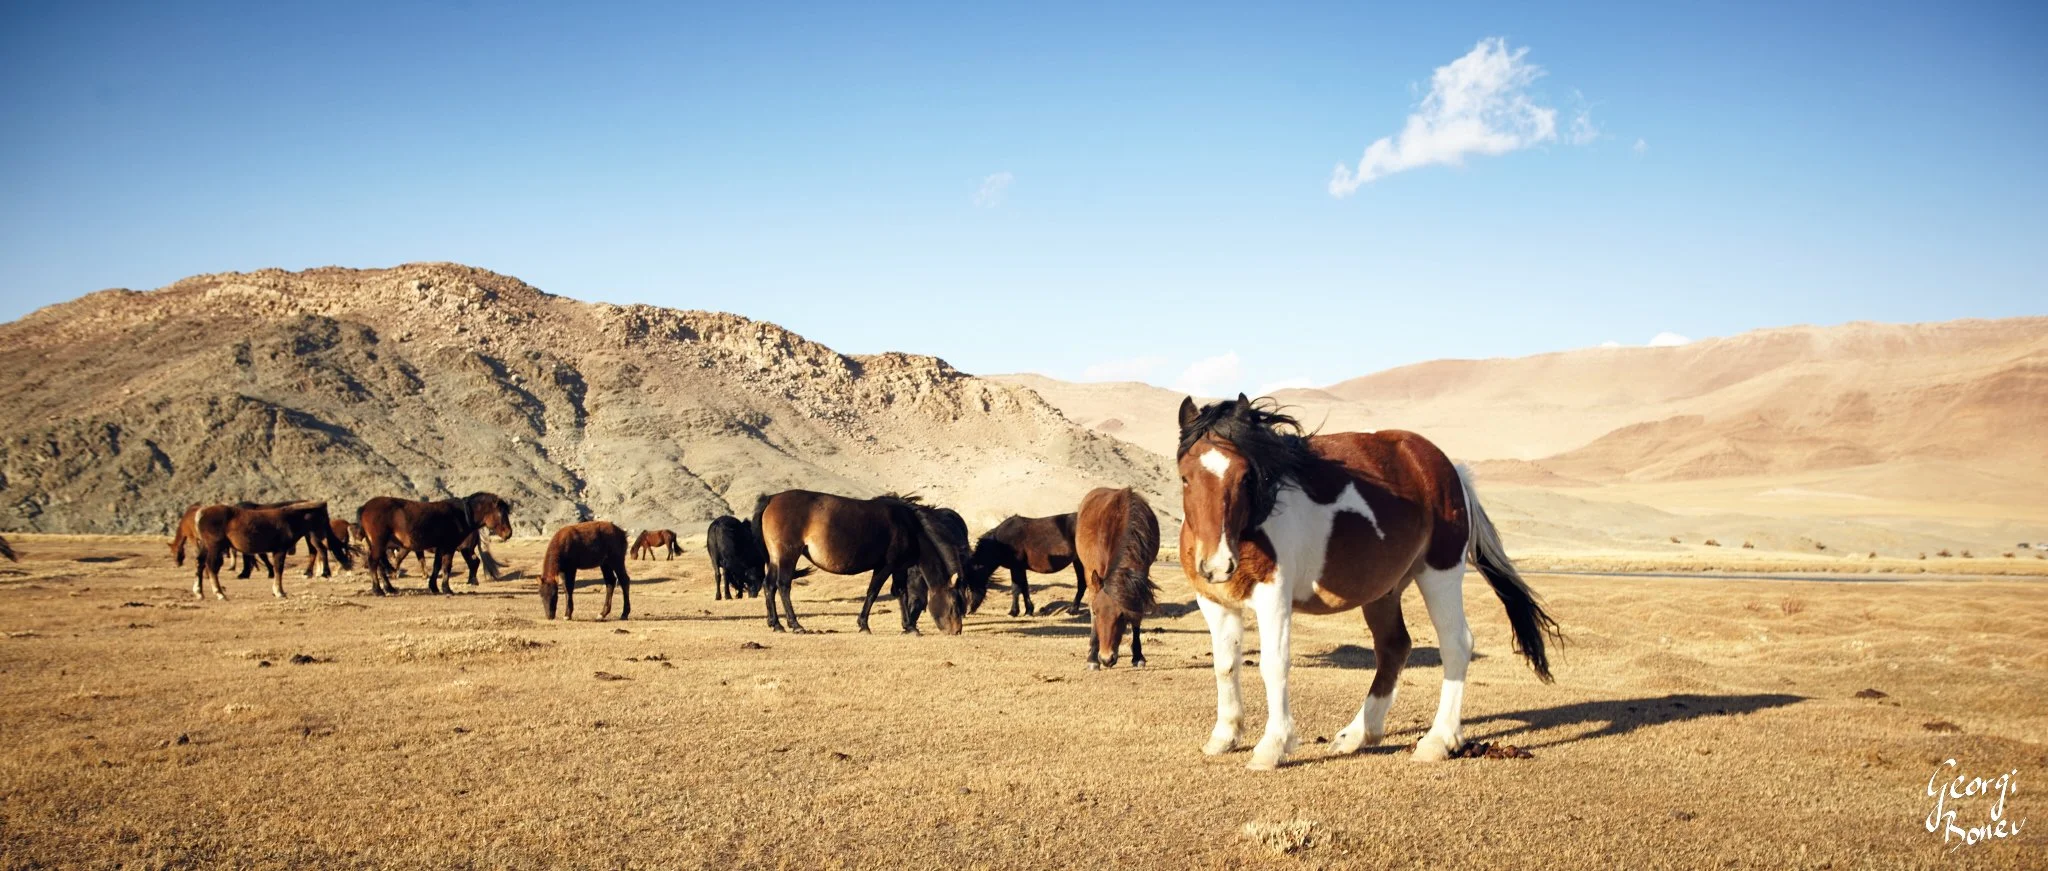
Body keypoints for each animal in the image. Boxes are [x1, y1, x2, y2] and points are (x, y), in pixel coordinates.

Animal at [192, 501, 353, 599]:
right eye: (324, 517)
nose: (327, 531)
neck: (289, 520)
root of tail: (201, 513)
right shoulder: (279, 550)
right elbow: (278, 569)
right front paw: (279, 592)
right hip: (215, 547)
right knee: (211, 566)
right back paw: (219, 593)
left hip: (206, 547)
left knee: (200, 563)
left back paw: (199, 592)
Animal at [357, 493, 514, 595]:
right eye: (501, 513)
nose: (509, 533)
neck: (461, 514)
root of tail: (365, 507)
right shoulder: (449, 547)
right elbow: (446, 567)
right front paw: (446, 589)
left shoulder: (441, 547)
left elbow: (436, 566)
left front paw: (434, 587)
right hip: (379, 544)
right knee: (373, 563)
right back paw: (378, 590)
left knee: (380, 565)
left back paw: (389, 588)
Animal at [753, 490, 964, 634]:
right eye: (954, 604)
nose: (956, 631)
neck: (910, 526)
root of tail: (772, 498)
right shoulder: (885, 566)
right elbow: (872, 593)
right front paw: (864, 625)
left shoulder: (899, 568)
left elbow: (902, 594)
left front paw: (909, 627)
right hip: (788, 555)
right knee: (783, 585)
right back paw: (795, 625)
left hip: (775, 558)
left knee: (769, 586)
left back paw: (776, 624)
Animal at [1075, 488, 1160, 669]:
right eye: (1096, 611)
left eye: (1122, 615)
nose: (1106, 658)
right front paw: (1092, 659)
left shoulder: (1140, 577)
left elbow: (1137, 614)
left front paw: (1138, 657)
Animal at [1175, 395, 1560, 770]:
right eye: (1184, 477)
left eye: (1245, 477)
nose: (1217, 564)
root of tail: (1450, 470)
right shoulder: (1214, 603)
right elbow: (1225, 665)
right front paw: (1224, 736)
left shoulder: (1274, 597)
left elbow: (1274, 664)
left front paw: (1272, 747)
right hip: (1384, 591)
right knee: (1394, 647)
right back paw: (1358, 734)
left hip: (1441, 573)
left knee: (1456, 644)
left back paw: (1437, 740)